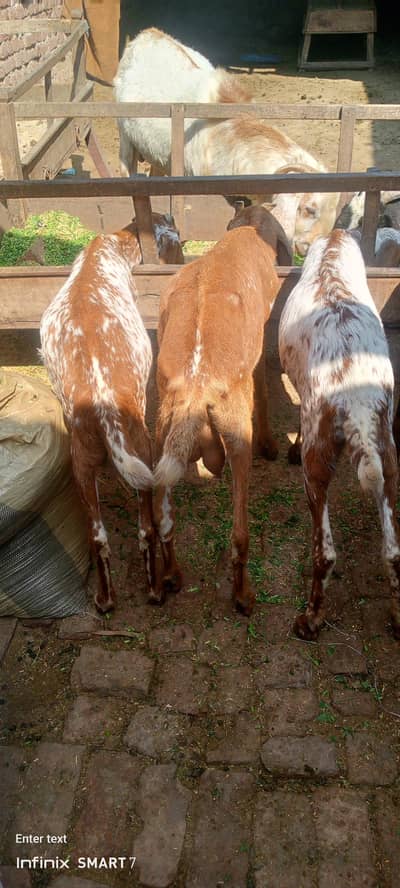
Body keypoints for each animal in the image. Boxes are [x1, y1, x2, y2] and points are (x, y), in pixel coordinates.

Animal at [40, 214, 184, 613]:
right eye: (176, 238)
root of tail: (105, 415)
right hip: (143, 450)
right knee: (147, 528)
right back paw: (156, 590)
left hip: (81, 463)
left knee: (98, 536)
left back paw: (105, 600)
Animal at [153, 207, 291, 614]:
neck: (244, 234)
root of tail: (195, 391)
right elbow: (263, 388)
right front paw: (271, 445)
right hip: (237, 436)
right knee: (239, 536)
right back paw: (244, 597)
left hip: (160, 436)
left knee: (162, 520)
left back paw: (171, 577)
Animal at [279, 229, 400, 640]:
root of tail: (356, 401)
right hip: (388, 460)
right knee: (393, 553)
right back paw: (397, 619)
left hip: (315, 470)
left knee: (325, 555)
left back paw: (310, 619)